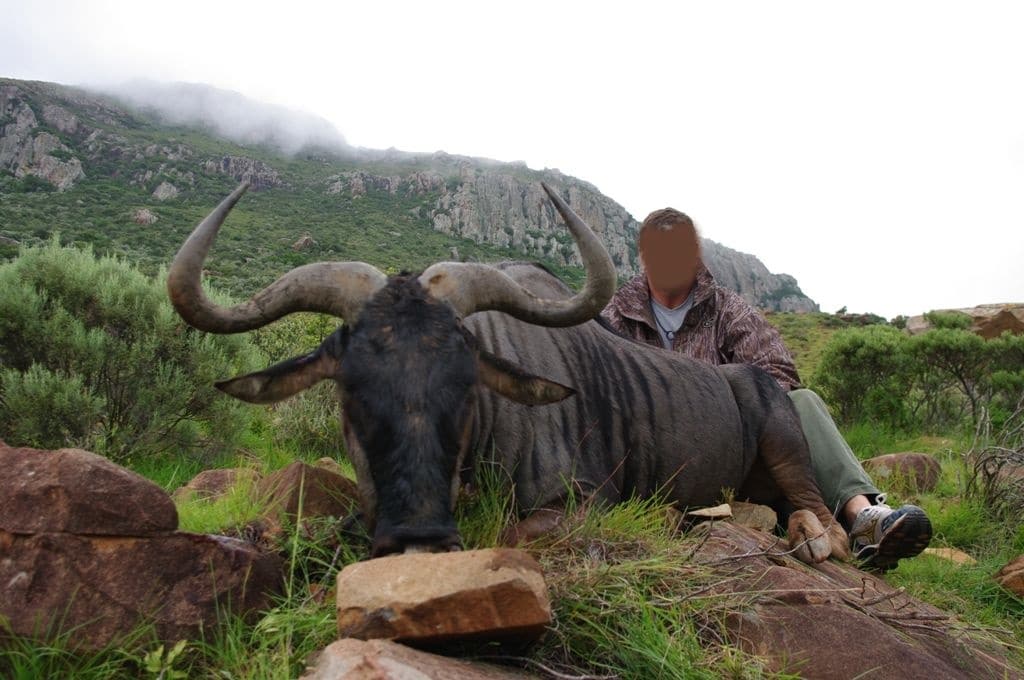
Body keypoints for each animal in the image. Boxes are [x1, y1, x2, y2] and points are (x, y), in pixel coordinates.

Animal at [167, 183, 849, 563]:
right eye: (350, 394)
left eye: (466, 389)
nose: (418, 536)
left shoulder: (579, 501)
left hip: (783, 432)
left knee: (816, 508)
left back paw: (823, 538)